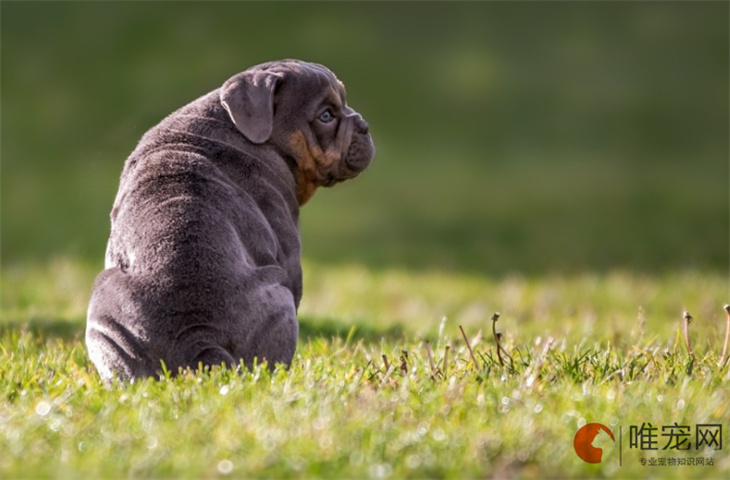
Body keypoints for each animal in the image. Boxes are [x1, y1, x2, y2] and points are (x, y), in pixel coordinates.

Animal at [85, 60, 376, 380]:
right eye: (326, 116)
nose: (364, 125)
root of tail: (197, 336)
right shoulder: (290, 257)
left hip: (105, 315)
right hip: (280, 297)